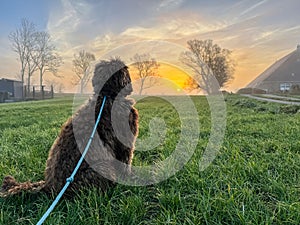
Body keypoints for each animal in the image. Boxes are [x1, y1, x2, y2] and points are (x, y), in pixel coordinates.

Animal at [0, 58, 139, 197]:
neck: (106, 96)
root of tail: (49, 186)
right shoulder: (125, 142)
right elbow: (126, 161)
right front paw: (130, 179)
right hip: (103, 168)